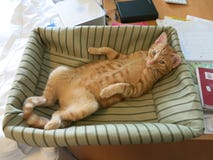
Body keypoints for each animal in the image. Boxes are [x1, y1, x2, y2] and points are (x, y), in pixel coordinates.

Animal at [22, 31, 181, 129]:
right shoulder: (120, 57)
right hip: (60, 70)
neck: (144, 62)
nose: (151, 61)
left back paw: (51, 124)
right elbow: (108, 49)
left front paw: (106, 91)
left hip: (88, 105)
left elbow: (121, 85)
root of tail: (62, 99)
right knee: (46, 101)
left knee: (56, 112)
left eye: (161, 62)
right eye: (153, 52)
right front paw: (94, 49)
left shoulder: (137, 89)